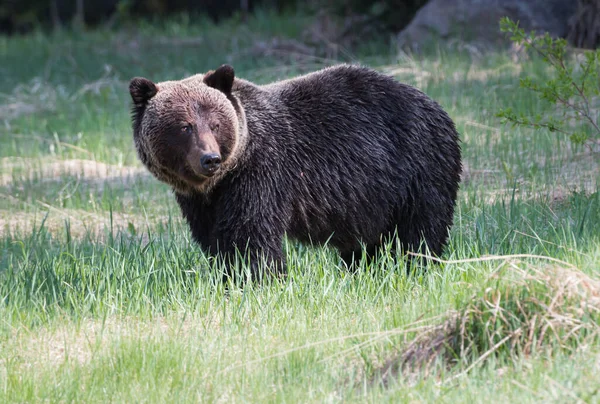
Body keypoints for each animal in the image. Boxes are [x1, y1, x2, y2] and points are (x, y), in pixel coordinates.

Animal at [129, 64, 462, 280]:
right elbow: (213, 239)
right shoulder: (201, 201)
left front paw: (256, 279)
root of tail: (438, 107)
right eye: (184, 126)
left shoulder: (261, 173)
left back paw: (414, 267)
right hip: (372, 196)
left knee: (420, 230)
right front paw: (226, 276)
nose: (210, 159)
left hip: (417, 168)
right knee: (367, 242)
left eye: (215, 123)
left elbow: (249, 234)